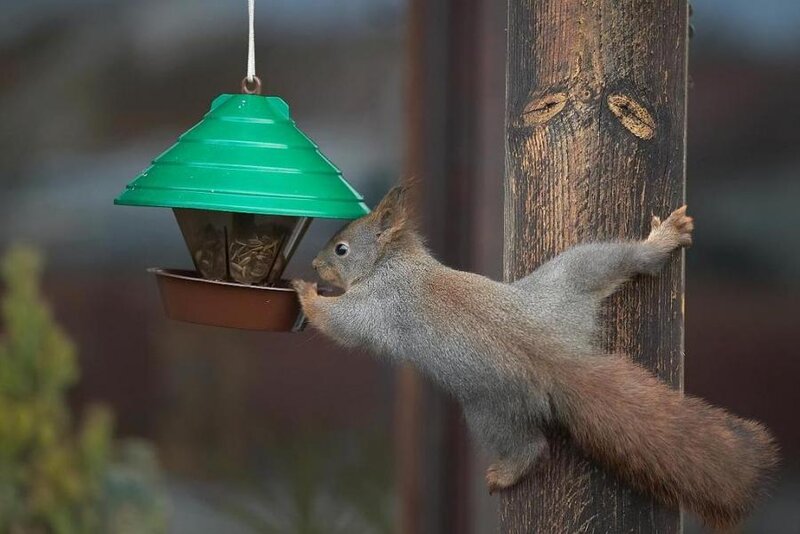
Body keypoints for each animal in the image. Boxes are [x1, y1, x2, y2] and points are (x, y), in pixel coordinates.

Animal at [292, 184, 779, 530]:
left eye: (341, 248)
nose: (315, 265)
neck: (394, 263)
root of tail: (556, 357)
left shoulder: (377, 305)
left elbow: (340, 322)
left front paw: (305, 293)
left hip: (492, 407)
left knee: (529, 446)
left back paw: (508, 472)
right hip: (569, 281)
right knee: (617, 259)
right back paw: (660, 242)